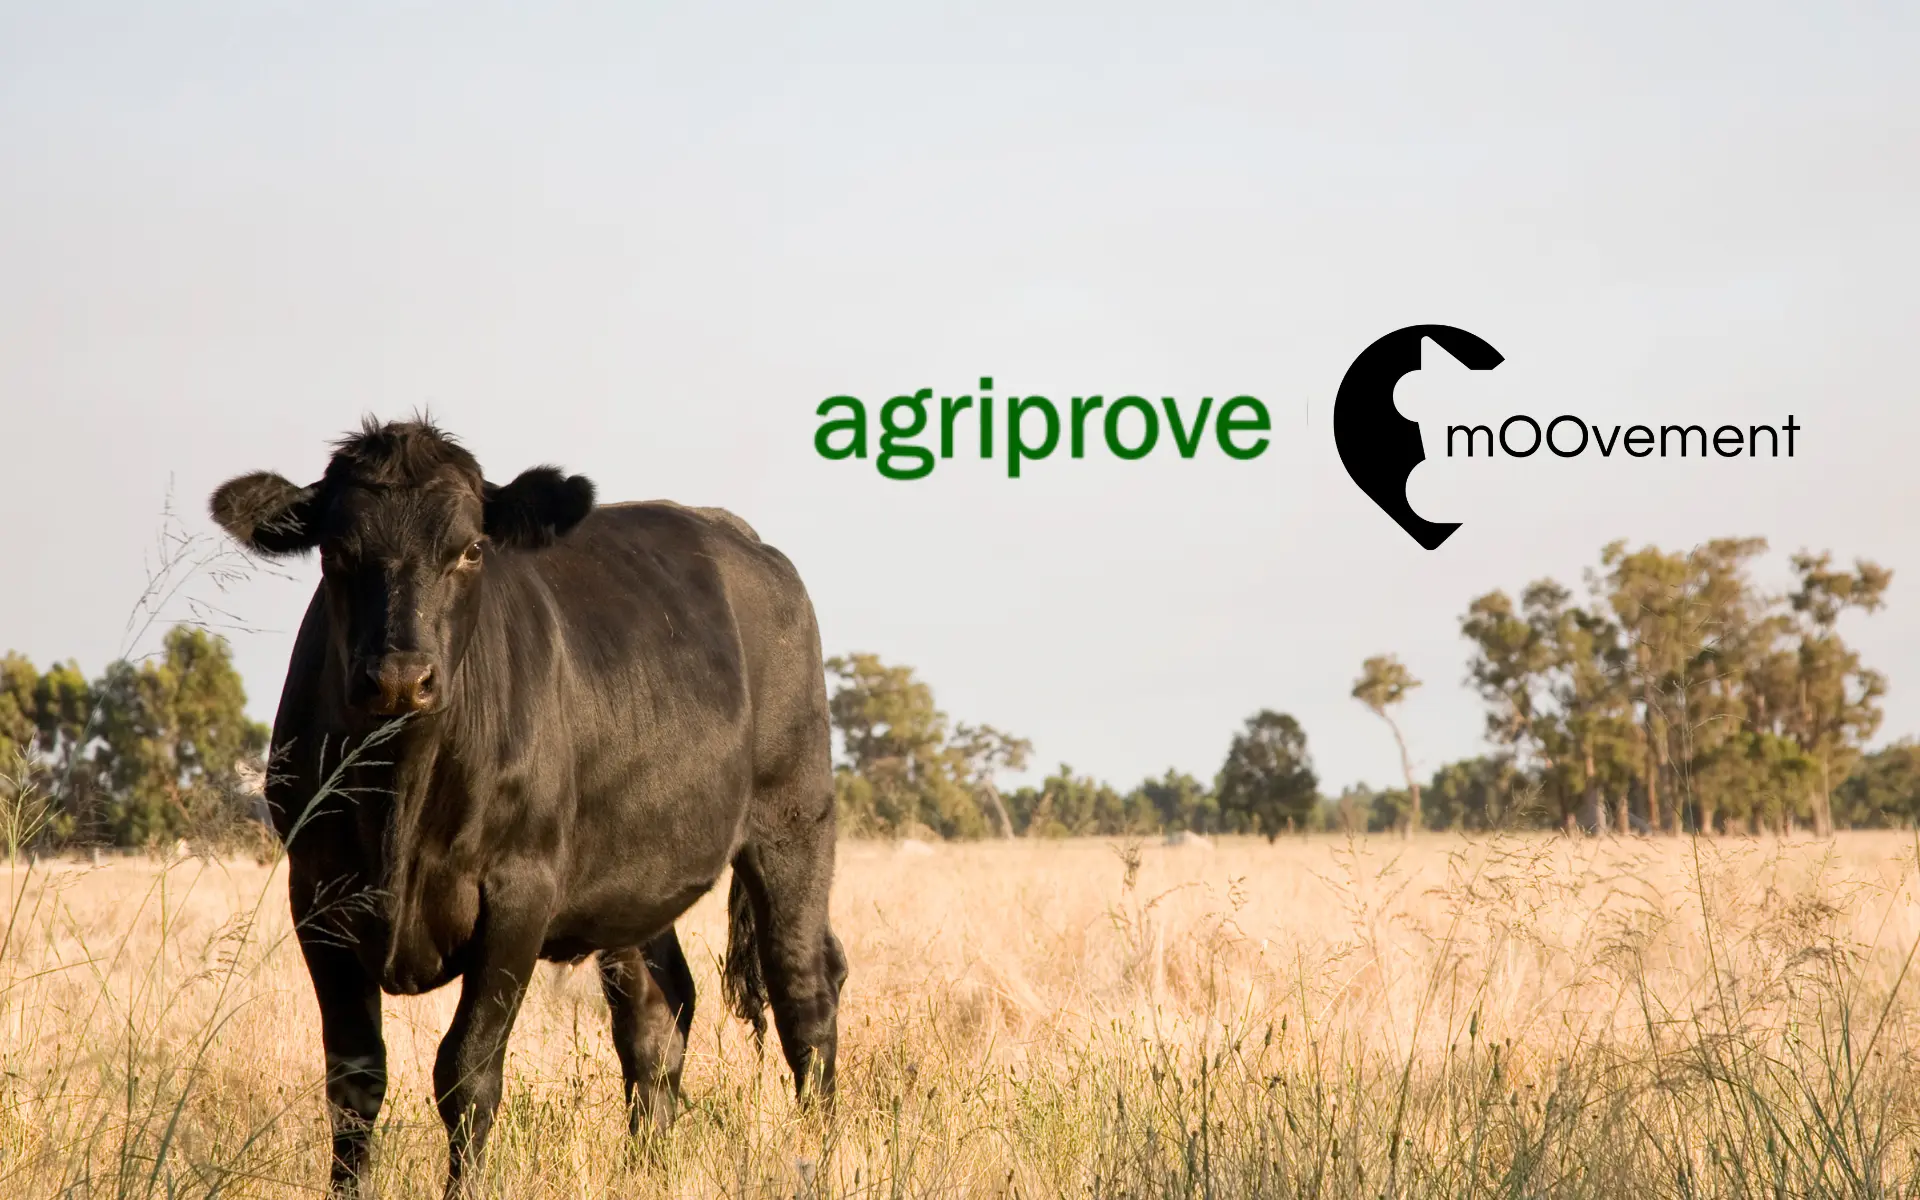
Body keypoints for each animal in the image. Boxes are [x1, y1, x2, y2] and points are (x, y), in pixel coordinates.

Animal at [209, 418, 846, 1197]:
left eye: (470, 549)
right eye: (337, 551)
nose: (399, 678)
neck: (402, 795)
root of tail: (741, 538)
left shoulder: (519, 894)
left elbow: (467, 1073)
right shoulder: (319, 895)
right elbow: (354, 1080)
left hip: (793, 819)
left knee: (805, 994)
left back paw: (816, 1158)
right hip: (631, 880)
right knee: (657, 1013)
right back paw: (645, 1170)